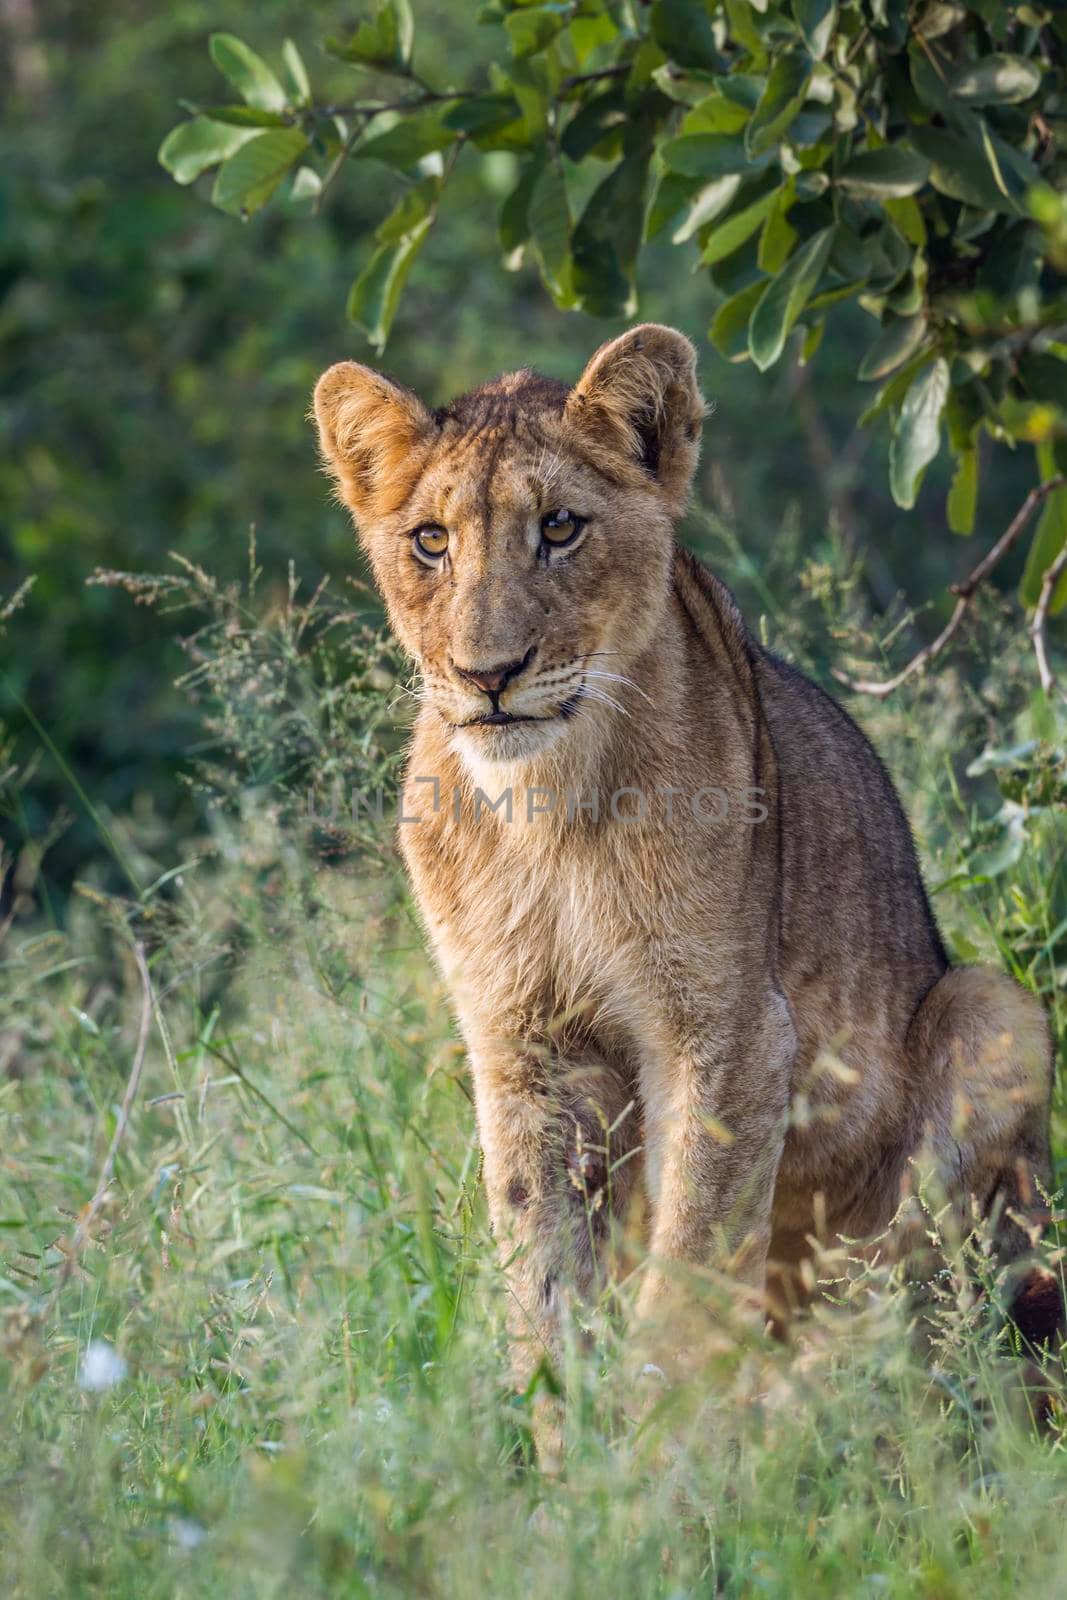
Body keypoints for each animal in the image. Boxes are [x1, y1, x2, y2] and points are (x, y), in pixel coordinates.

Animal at [315, 321, 1062, 1452]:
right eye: (431, 541)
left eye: (560, 527)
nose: (489, 674)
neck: (548, 807)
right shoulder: (520, 1043)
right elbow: (541, 1267)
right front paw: (560, 1449)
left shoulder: (728, 1031)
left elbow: (694, 1257)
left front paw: (654, 1453)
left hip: (994, 1008)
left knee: (912, 1312)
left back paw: (807, 1400)